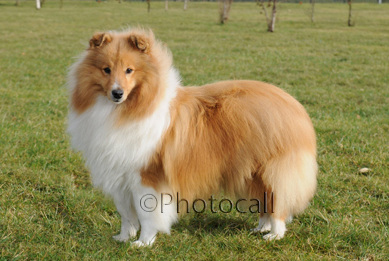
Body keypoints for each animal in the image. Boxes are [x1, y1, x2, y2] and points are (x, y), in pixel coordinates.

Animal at [66, 28, 316, 246]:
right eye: (106, 70)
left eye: (129, 70)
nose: (117, 93)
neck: (125, 110)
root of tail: (293, 104)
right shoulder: (120, 176)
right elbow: (126, 215)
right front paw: (123, 238)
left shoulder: (147, 177)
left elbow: (147, 215)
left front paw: (143, 243)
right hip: (252, 172)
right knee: (264, 201)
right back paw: (261, 227)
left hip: (273, 169)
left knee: (278, 202)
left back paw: (274, 235)